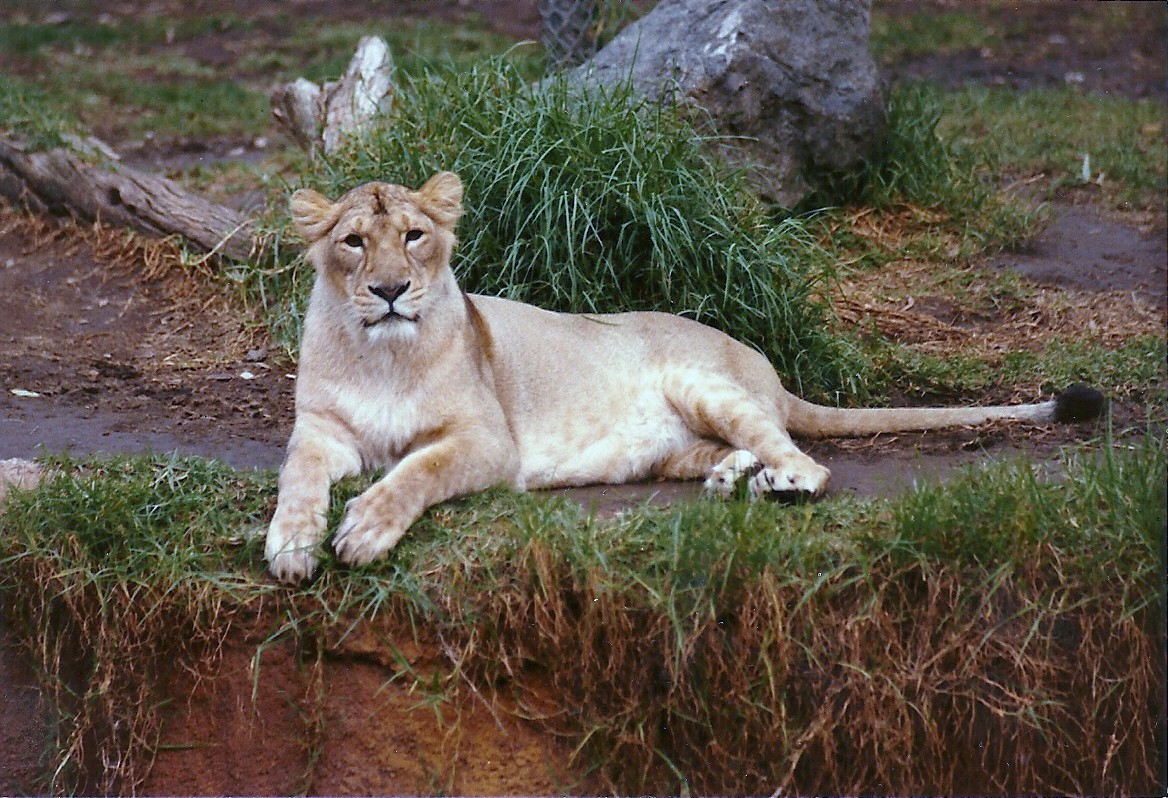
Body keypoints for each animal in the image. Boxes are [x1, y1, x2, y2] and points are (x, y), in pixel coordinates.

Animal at [264, 172, 1104, 582]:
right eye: (353, 243)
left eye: (414, 236)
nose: (389, 290)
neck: (382, 354)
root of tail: (767, 365)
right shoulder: (320, 432)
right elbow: (297, 479)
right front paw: (291, 546)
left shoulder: (487, 442)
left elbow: (414, 472)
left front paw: (363, 530)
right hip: (675, 444)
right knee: (735, 452)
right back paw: (735, 478)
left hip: (702, 383)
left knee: (808, 460)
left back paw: (779, 483)